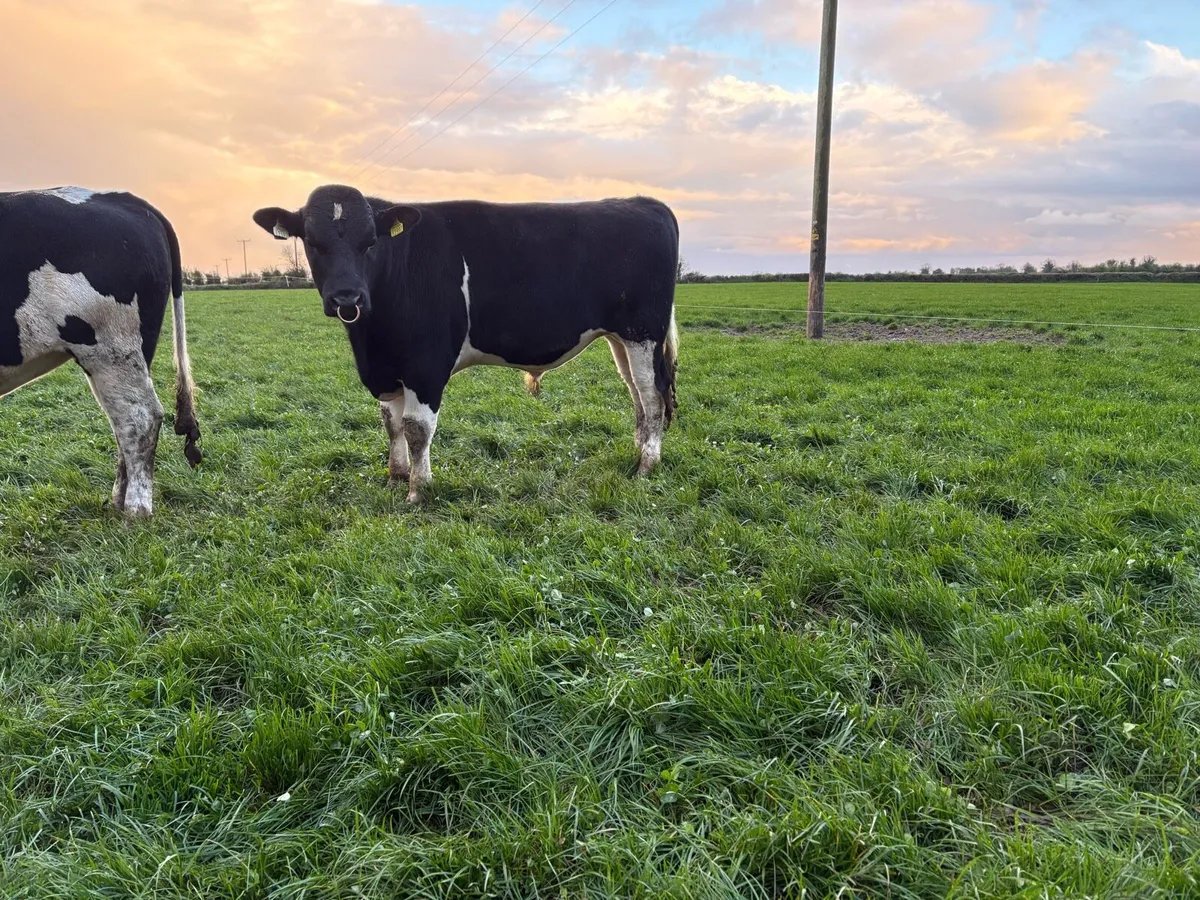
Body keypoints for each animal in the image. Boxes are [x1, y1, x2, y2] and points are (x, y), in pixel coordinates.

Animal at [0, 187, 201, 517]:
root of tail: (120, 197)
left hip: (111, 350)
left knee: (141, 417)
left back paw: (135, 511)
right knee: (124, 426)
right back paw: (119, 502)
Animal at [252, 184, 678, 503]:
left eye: (371, 241)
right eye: (311, 241)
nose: (347, 298)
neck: (373, 339)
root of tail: (644, 202)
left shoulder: (425, 366)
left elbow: (416, 429)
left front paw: (418, 491)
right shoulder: (387, 369)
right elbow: (390, 424)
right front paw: (396, 476)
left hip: (643, 331)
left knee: (654, 395)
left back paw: (647, 465)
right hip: (620, 337)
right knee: (635, 393)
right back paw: (638, 449)